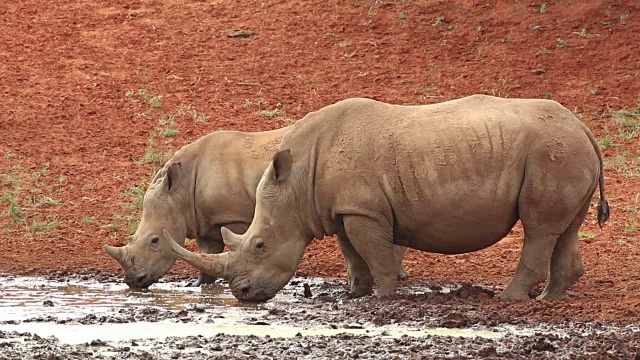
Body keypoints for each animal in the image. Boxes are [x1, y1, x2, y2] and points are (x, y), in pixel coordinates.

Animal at [102, 126, 408, 286]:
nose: (133, 281)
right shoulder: (205, 220)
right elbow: (207, 253)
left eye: (154, 241)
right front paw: (202, 285)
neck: (180, 189)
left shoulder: (234, 217)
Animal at [165, 95, 608, 300]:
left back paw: (510, 299)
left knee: (539, 227)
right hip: (564, 151)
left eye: (259, 245)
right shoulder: (342, 209)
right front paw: (356, 294)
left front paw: (383, 296)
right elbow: (352, 252)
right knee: (564, 227)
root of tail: (584, 128)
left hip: (551, 150)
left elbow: (374, 253)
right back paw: (550, 298)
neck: (297, 182)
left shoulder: (364, 210)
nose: (241, 295)